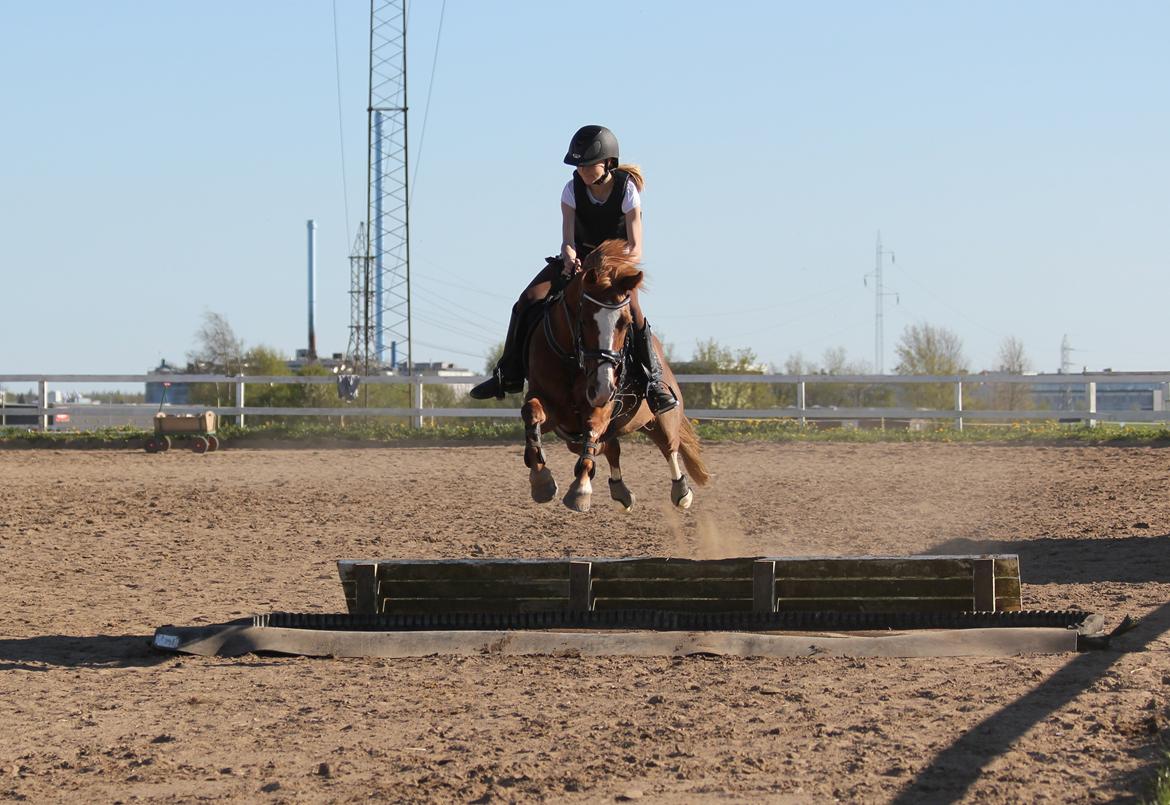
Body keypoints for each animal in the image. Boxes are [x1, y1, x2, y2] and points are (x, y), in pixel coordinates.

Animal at [521, 239, 710, 513]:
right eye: (584, 320)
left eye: (625, 323)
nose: (602, 388)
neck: (573, 360)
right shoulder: (551, 409)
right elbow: (531, 414)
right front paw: (541, 480)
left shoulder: (602, 407)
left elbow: (592, 428)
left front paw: (580, 490)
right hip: (576, 437)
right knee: (612, 449)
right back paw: (620, 491)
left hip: (663, 418)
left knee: (669, 447)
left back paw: (682, 491)